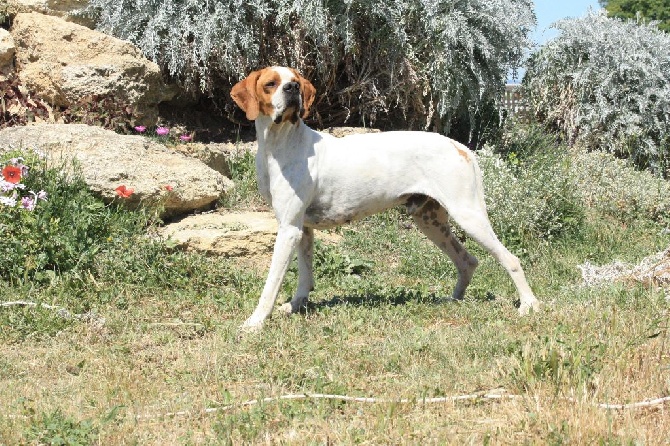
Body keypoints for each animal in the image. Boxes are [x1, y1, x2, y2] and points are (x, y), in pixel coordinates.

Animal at [231, 67, 540, 332]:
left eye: (295, 80)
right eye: (270, 83)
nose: (292, 88)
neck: (280, 145)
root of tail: (458, 146)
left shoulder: (288, 230)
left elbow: (271, 284)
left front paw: (255, 322)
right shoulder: (302, 229)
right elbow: (305, 277)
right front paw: (296, 306)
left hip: (469, 217)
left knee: (511, 259)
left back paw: (529, 305)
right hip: (430, 222)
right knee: (468, 261)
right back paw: (453, 300)